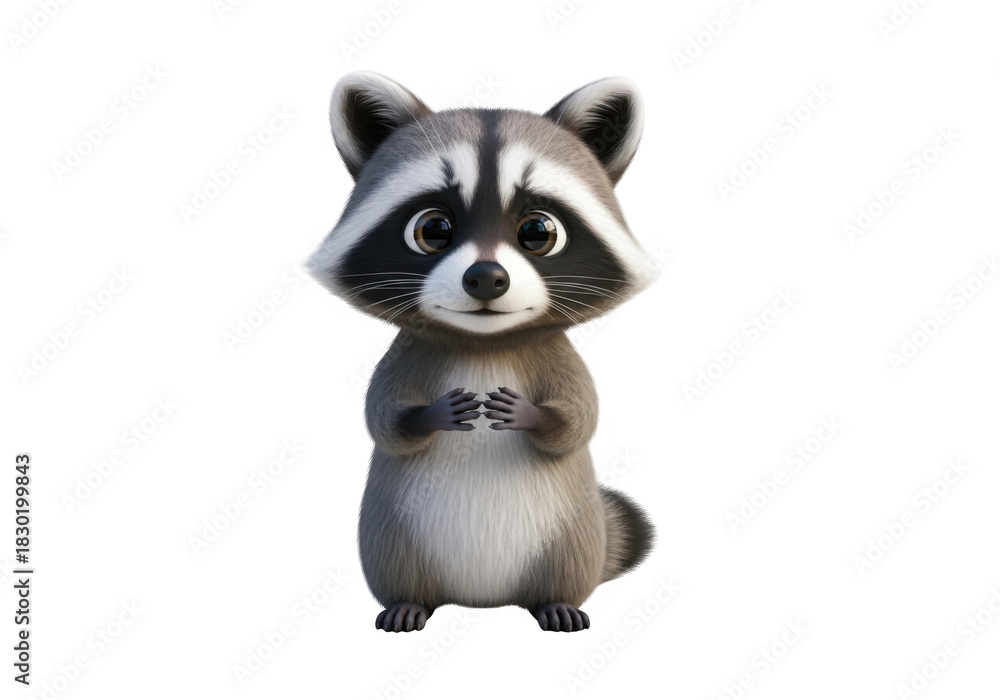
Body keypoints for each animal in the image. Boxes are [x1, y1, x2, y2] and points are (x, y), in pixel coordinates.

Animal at [308, 72, 657, 632]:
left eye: (538, 230)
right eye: (433, 228)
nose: (487, 278)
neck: (483, 342)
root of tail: (483, 601)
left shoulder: (557, 355)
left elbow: (579, 420)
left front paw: (535, 416)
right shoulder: (406, 353)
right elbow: (382, 421)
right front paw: (430, 415)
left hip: (573, 534)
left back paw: (556, 600)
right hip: (389, 535)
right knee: (393, 557)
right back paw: (408, 601)